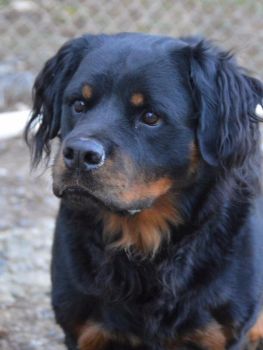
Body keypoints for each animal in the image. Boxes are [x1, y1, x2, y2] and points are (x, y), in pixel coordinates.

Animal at [25, 33, 263, 350]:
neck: (141, 243)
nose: (79, 154)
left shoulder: (223, 334)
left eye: (150, 116)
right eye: (78, 104)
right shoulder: (82, 330)